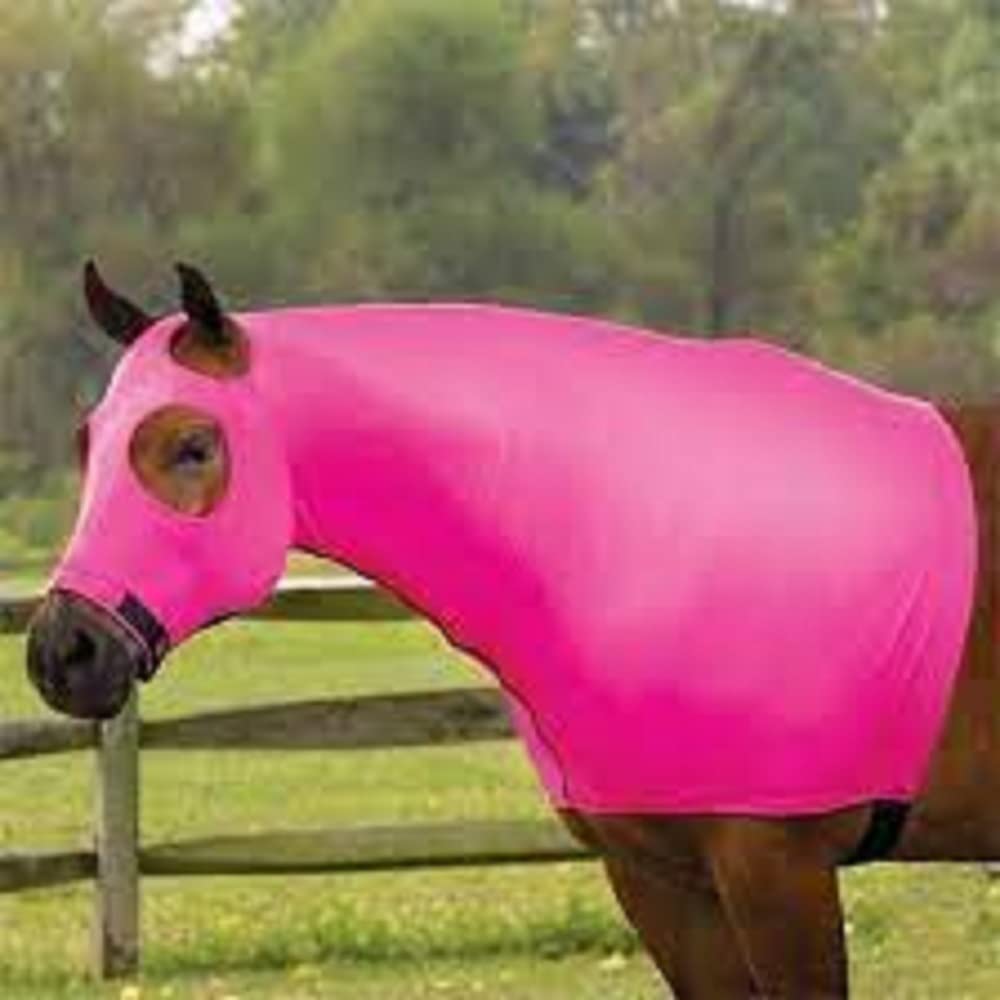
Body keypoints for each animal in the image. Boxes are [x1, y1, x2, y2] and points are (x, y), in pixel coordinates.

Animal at [25, 262, 1000, 998]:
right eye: (86, 444)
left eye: (192, 446)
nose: (63, 653)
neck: (639, 524)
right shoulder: (661, 879)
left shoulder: (778, 869)